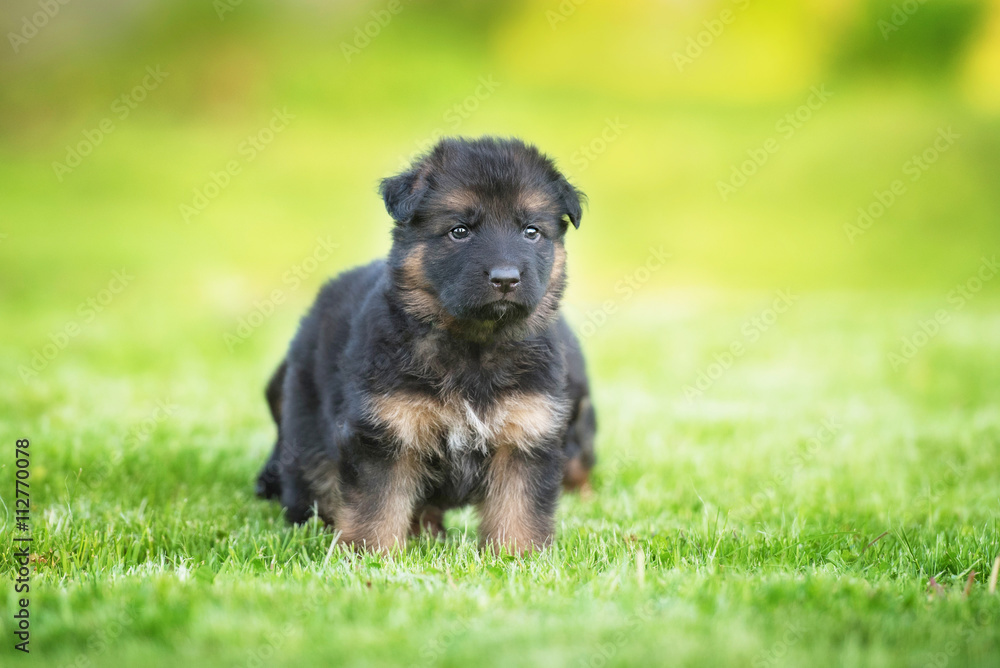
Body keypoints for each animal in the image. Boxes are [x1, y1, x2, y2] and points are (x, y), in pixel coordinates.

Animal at [256, 136, 592, 552]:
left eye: (531, 232)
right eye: (459, 231)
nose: (506, 279)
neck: (474, 345)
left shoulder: (526, 434)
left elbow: (519, 510)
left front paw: (518, 556)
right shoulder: (386, 432)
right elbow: (376, 505)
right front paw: (368, 555)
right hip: (307, 433)